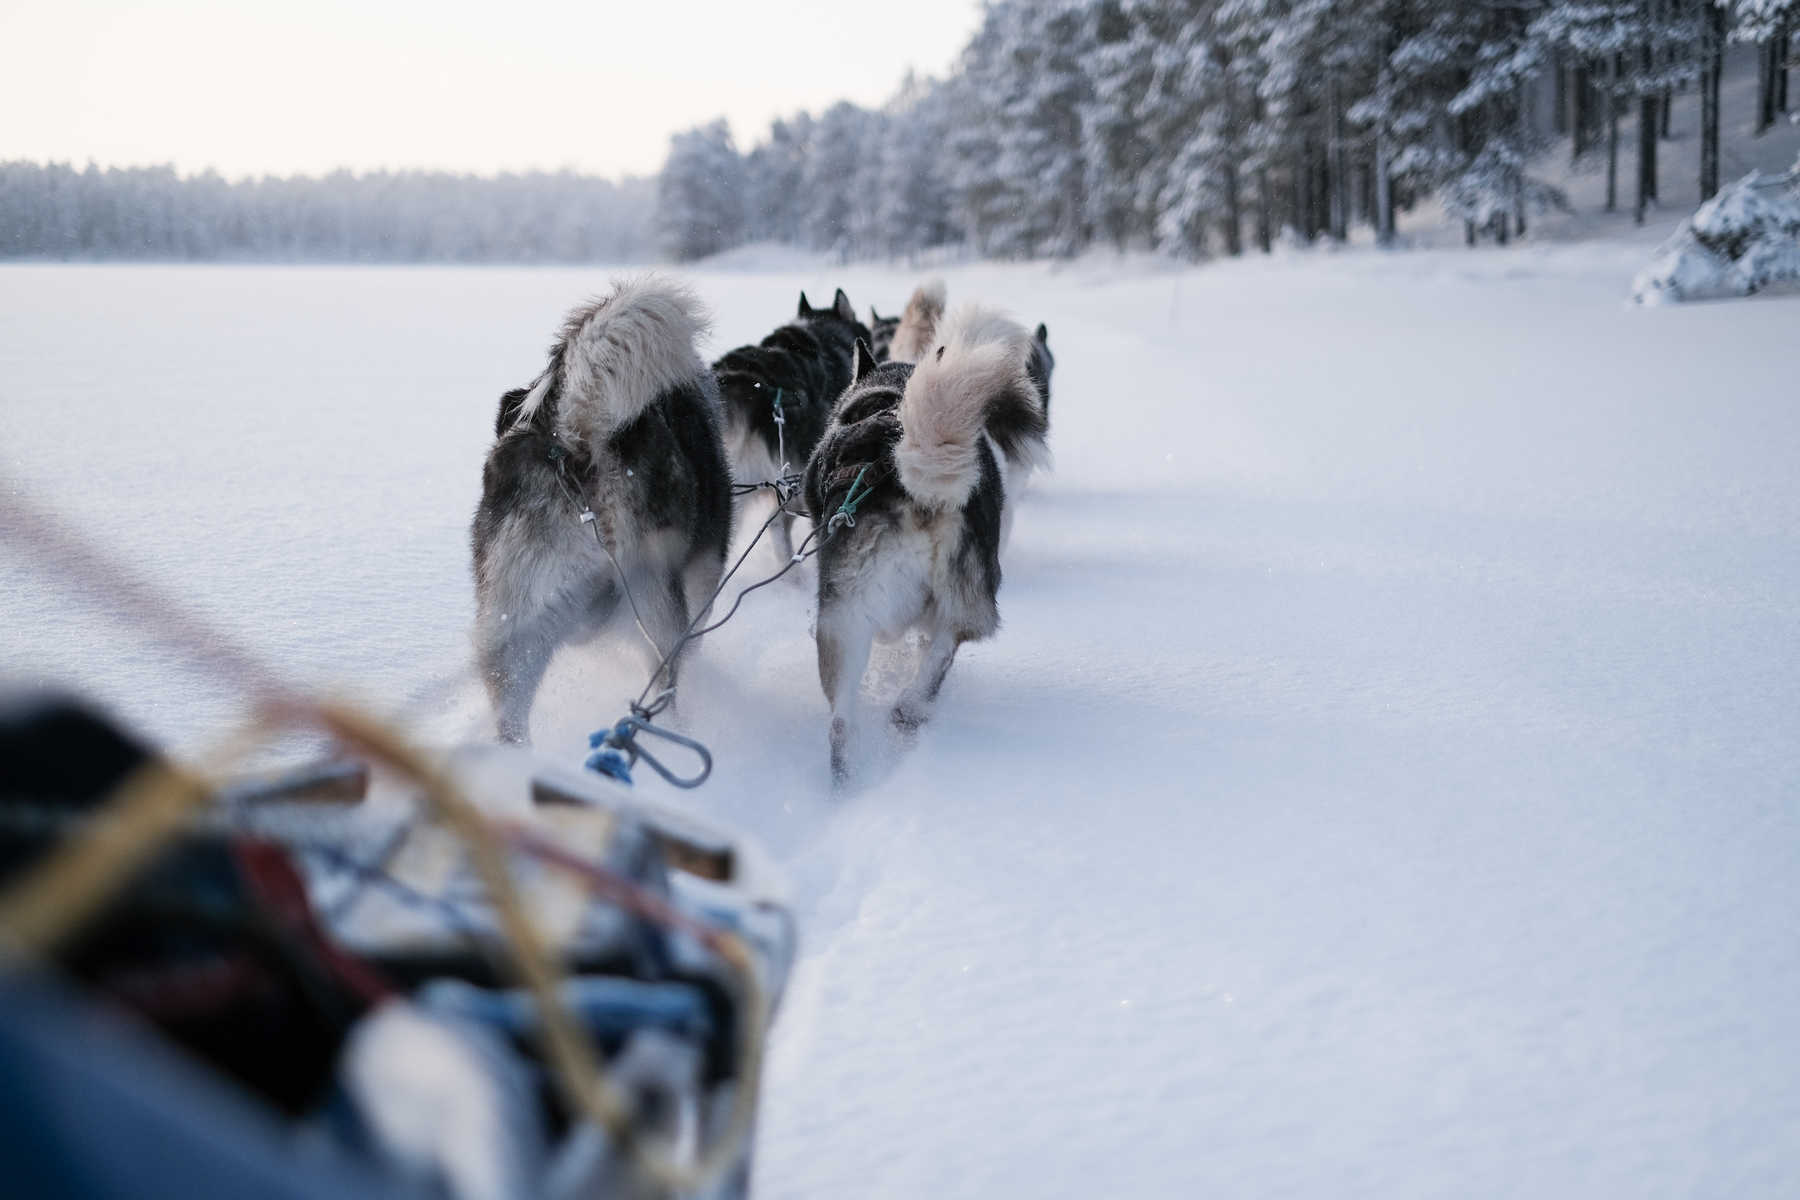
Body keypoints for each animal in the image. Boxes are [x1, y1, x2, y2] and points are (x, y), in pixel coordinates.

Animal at [478, 278, 738, 741]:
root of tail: (572, 439)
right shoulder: (703, 575)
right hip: (657, 603)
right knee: (662, 688)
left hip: (515, 620)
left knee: (511, 708)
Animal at [810, 305, 1051, 784]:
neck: (889, 394)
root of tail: (919, 491)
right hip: (961, 595)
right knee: (940, 652)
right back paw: (909, 709)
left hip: (842, 618)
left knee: (842, 718)